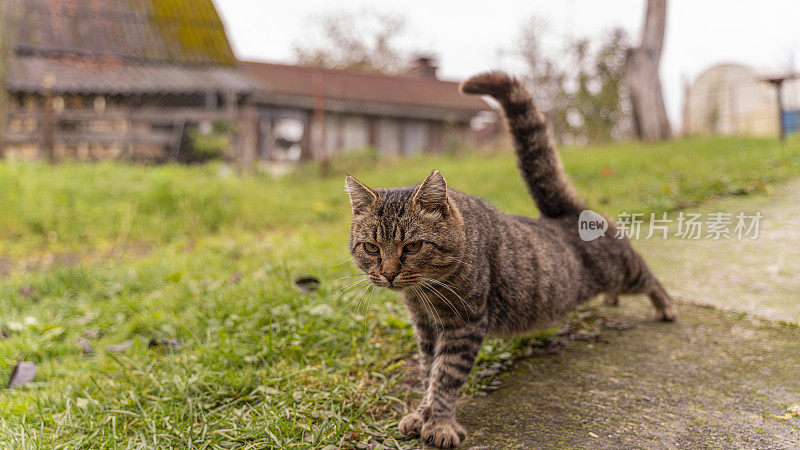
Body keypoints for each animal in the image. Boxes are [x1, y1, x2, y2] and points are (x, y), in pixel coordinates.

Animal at [344, 71, 676, 446]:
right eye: (372, 248)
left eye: (412, 247)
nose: (387, 274)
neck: (426, 294)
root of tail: (566, 214)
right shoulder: (426, 327)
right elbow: (428, 373)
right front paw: (420, 414)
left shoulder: (465, 323)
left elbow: (444, 376)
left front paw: (439, 423)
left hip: (623, 269)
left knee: (649, 275)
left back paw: (666, 306)